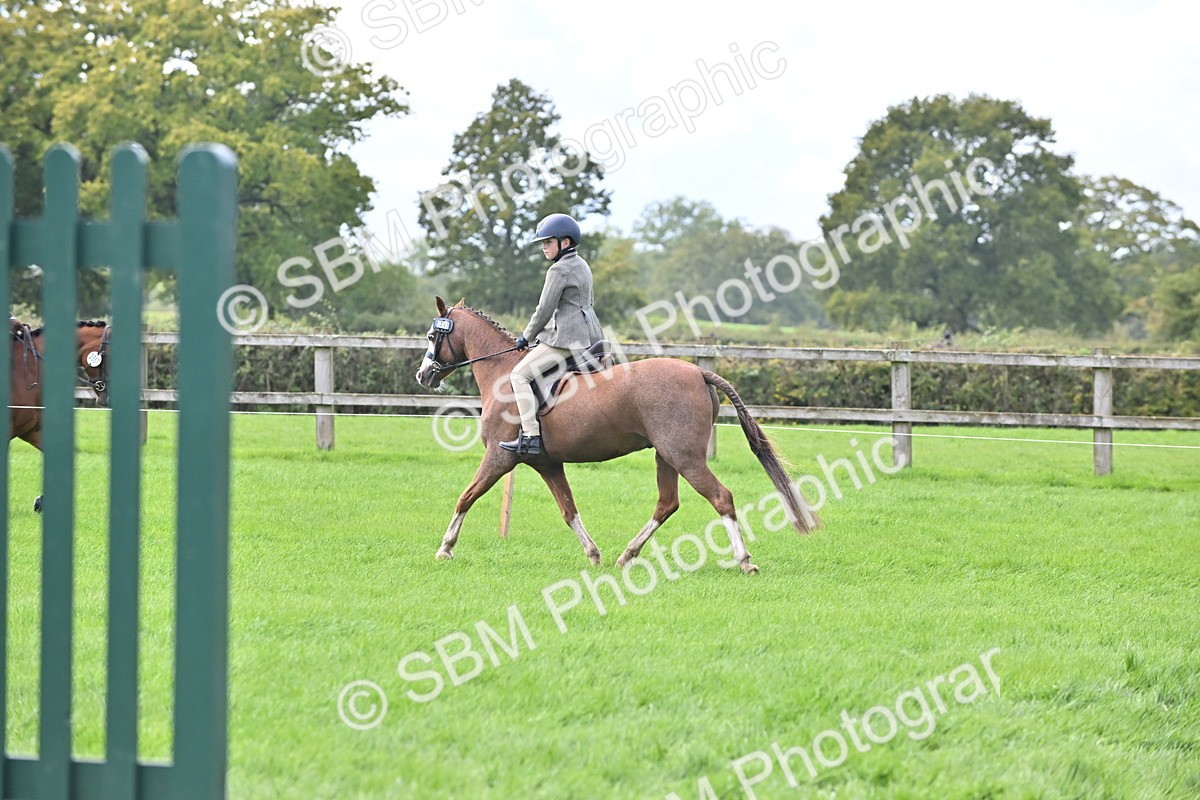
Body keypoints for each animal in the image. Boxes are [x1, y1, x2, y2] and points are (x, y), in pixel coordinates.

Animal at [414, 297, 820, 573]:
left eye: (434, 335)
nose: (423, 375)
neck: (502, 372)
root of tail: (698, 372)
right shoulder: (548, 464)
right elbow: (569, 510)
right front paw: (594, 554)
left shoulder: (500, 457)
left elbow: (465, 497)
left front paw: (445, 548)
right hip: (666, 455)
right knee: (667, 503)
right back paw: (628, 554)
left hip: (683, 456)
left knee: (720, 497)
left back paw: (744, 560)